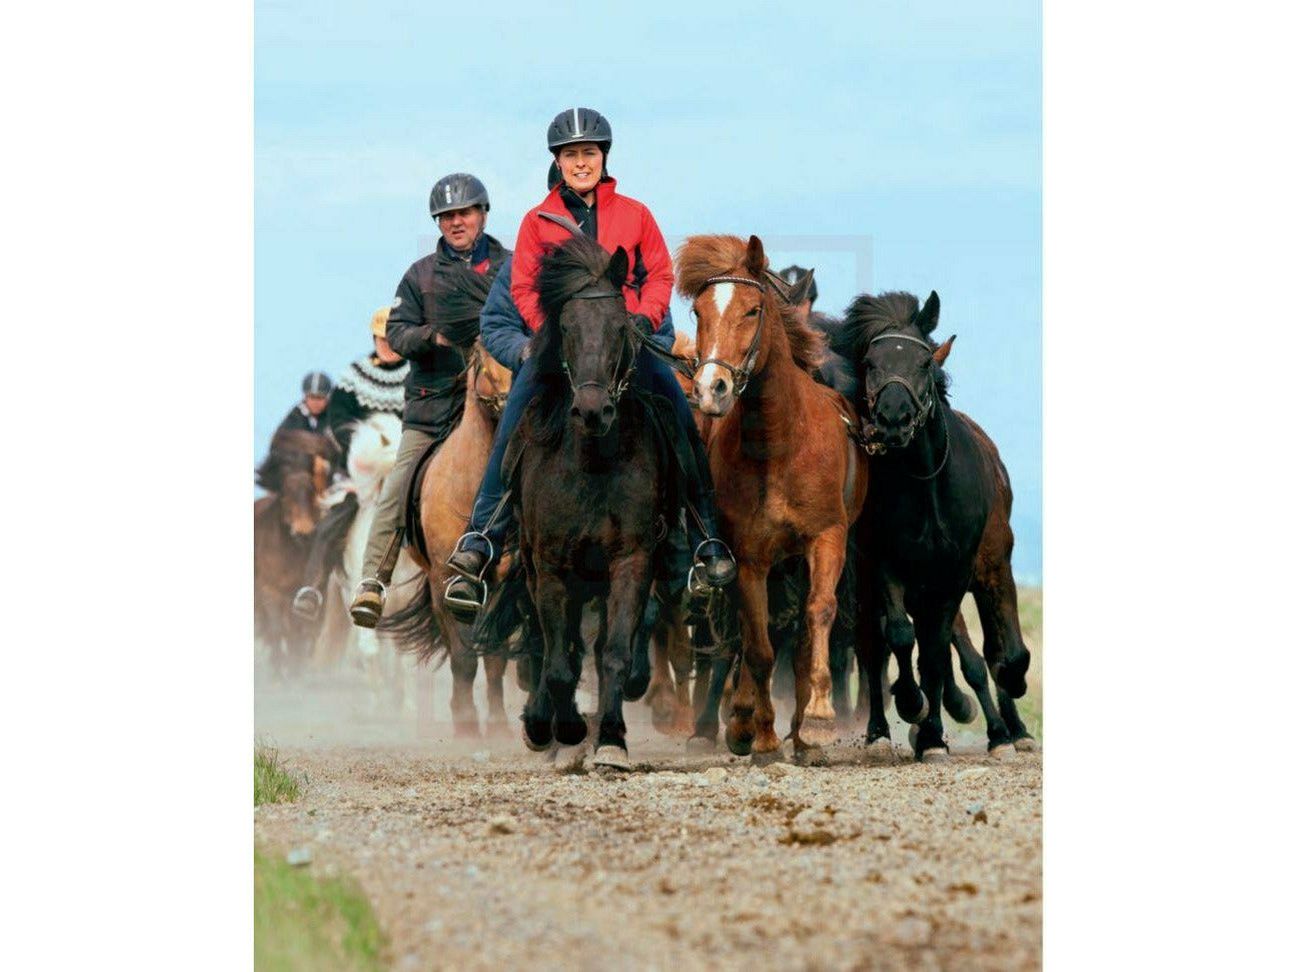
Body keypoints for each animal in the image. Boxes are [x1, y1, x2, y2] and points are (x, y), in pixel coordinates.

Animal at [253, 429, 336, 678]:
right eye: (284, 492)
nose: (303, 532)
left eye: (312, 489)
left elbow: (300, 635)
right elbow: (277, 631)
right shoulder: (269, 592)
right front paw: (282, 674)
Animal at [381, 343, 515, 737]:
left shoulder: (499, 579)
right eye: (484, 360)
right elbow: (464, 657)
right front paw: (466, 724)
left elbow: (496, 655)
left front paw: (498, 725)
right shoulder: (446, 579)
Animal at [477, 235, 672, 769]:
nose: (591, 410)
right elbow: (558, 660)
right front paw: (558, 726)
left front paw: (610, 738)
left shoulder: (630, 560)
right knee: (549, 646)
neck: (592, 464)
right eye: (565, 326)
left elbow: (615, 652)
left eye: (620, 326)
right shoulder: (550, 566)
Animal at [676, 234, 869, 759]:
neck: (779, 443)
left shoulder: (826, 538)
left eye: (752, 309)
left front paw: (818, 719)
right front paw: (758, 731)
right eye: (698, 311)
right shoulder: (749, 557)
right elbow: (758, 646)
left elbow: (818, 614)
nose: (712, 389)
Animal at [837, 290, 1031, 762]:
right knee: (877, 646)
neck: (928, 485)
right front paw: (915, 711)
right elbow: (902, 637)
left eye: (924, 362)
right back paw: (881, 732)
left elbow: (967, 652)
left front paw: (943, 733)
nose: (893, 418)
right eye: (870, 362)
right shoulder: (886, 564)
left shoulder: (966, 571)